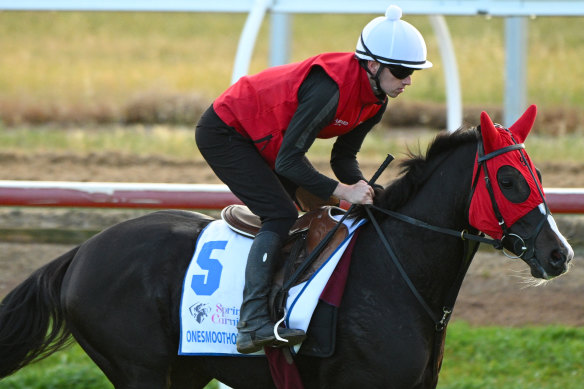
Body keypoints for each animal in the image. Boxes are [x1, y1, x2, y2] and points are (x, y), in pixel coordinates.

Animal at [0, 104, 576, 386]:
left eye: (538, 174)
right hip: (137, 369)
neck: (398, 276)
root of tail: (79, 253)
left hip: (184, 372)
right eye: (509, 180)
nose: (559, 254)